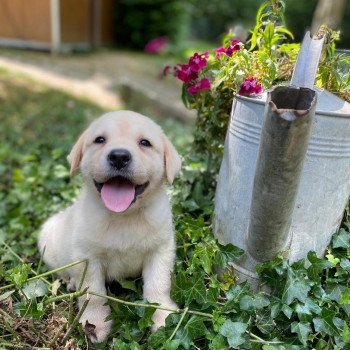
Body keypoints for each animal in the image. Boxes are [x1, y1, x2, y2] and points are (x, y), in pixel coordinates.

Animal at [37, 110, 180, 344]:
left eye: (145, 143)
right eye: (100, 140)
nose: (119, 156)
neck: (124, 216)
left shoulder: (161, 250)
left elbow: (158, 285)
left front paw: (163, 316)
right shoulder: (87, 257)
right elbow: (93, 292)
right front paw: (95, 323)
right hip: (48, 243)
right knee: (62, 271)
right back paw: (71, 282)